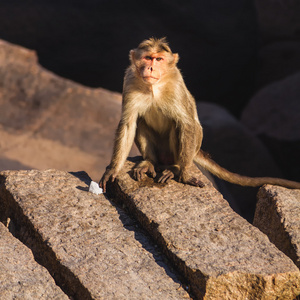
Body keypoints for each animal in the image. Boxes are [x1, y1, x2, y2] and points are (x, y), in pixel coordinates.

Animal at [99, 37, 300, 192]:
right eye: (148, 58)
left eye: (159, 60)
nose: (150, 68)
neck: (153, 87)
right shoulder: (129, 80)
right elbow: (128, 123)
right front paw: (113, 169)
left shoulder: (176, 84)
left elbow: (187, 124)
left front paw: (185, 175)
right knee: (140, 122)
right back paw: (149, 162)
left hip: (183, 150)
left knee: (178, 126)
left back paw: (175, 168)